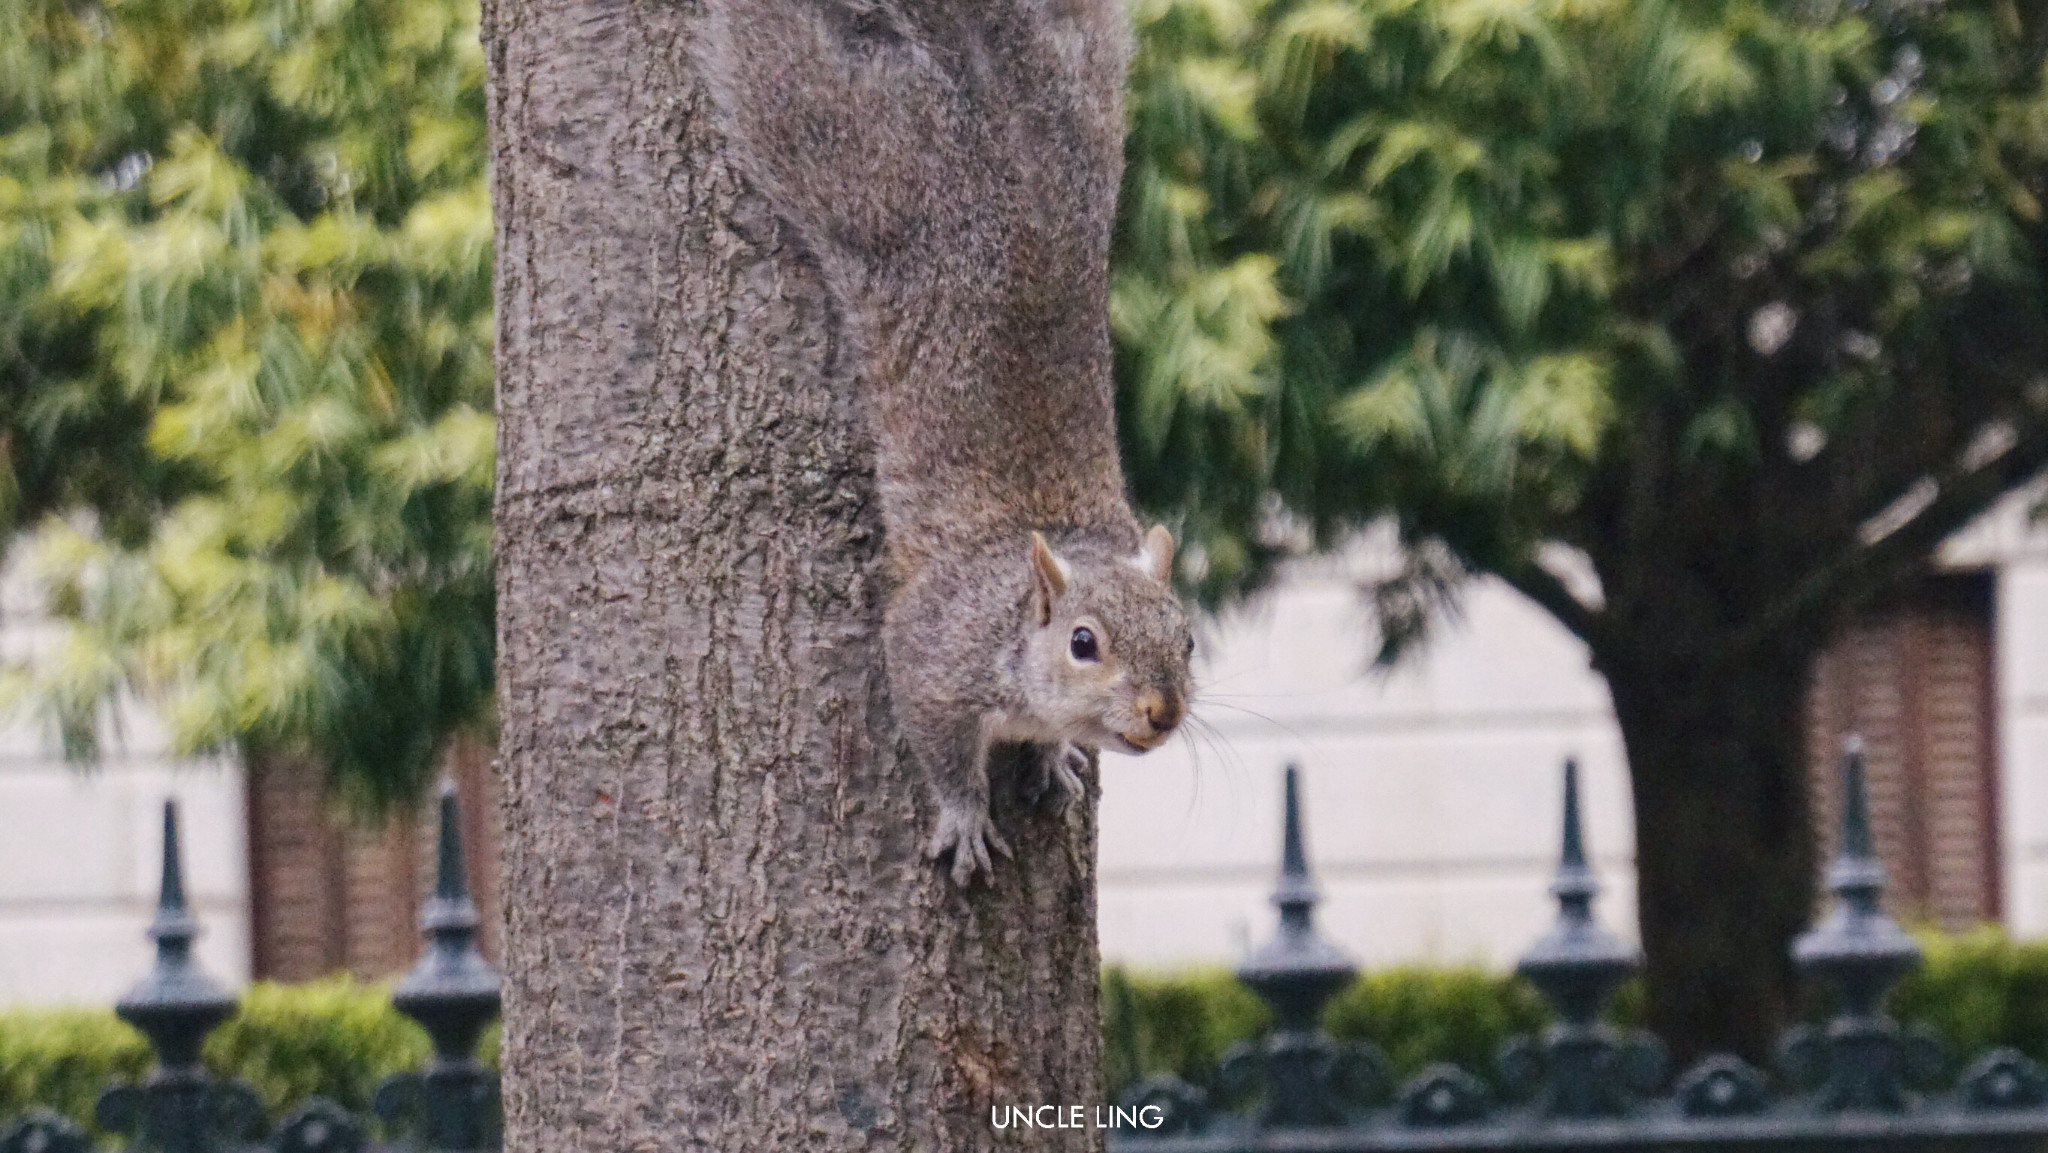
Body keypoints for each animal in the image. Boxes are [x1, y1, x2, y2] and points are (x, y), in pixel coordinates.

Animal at [700, 0, 1196, 884]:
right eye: (1083, 642)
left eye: (1190, 639)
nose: (1162, 711)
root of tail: (980, 86)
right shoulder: (929, 650)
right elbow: (939, 747)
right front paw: (967, 817)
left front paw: (1053, 759)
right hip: (838, 145)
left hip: (1089, 76)